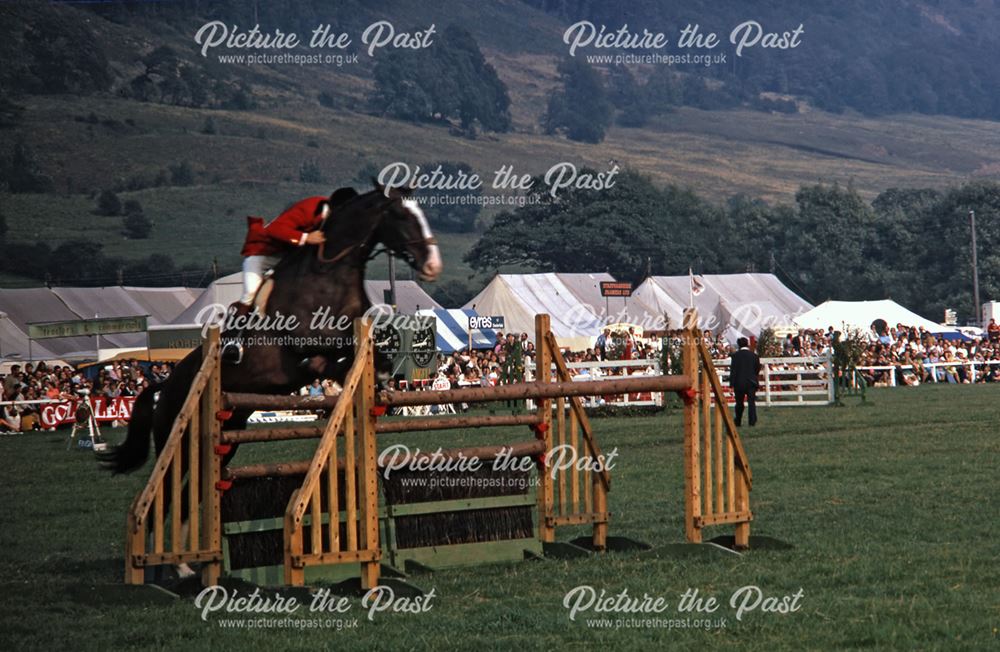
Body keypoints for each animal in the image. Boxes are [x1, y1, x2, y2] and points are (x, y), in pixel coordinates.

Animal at [99, 186, 440, 476]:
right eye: (401, 216)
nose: (433, 265)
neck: (331, 272)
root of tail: (165, 384)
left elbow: (375, 355)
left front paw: (380, 380)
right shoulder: (305, 338)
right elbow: (324, 358)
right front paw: (333, 371)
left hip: (230, 430)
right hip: (178, 437)